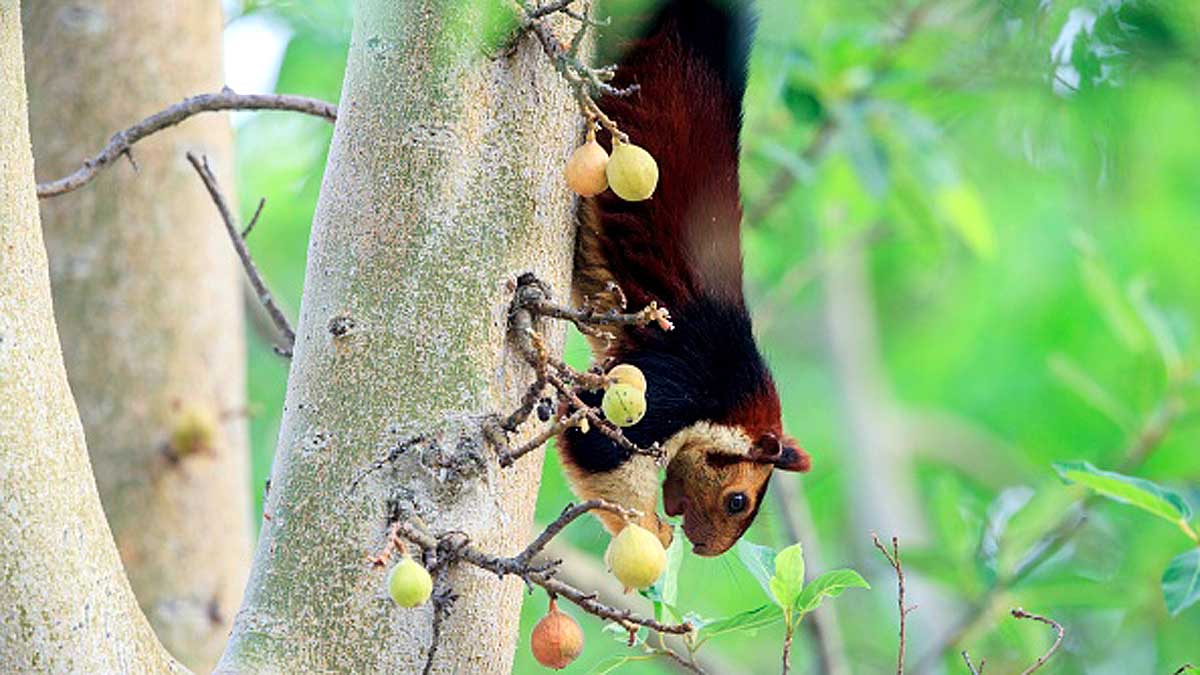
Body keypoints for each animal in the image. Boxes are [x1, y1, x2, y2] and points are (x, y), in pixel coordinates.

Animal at [557, 0, 810, 557]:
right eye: (737, 500)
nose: (706, 550)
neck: (732, 389)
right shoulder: (675, 382)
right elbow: (596, 442)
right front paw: (651, 529)